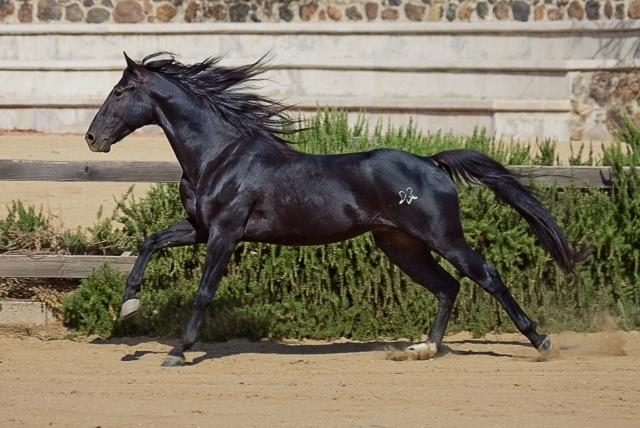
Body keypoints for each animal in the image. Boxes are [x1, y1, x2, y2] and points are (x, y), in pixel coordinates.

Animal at [85, 52, 581, 366]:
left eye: (119, 91)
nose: (92, 137)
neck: (219, 156)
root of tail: (431, 162)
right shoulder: (200, 228)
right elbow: (151, 242)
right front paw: (129, 307)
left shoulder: (225, 231)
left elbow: (205, 290)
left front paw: (177, 351)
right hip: (400, 244)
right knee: (447, 287)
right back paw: (423, 349)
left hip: (442, 236)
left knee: (485, 277)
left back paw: (541, 342)